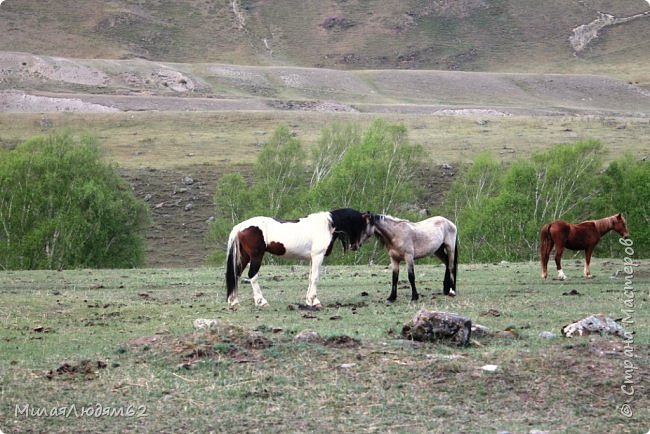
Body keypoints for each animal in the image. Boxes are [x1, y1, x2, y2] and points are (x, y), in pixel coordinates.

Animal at [225, 208, 372, 306]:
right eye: (360, 224)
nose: (356, 246)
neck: (326, 225)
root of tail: (240, 226)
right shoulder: (318, 256)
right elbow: (315, 278)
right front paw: (314, 301)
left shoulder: (312, 259)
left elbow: (310, 278)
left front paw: (309, 300)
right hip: (256, 256)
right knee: (252, 275)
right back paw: (261, 301)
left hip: (245, 256)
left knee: (236, 274)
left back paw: (234, 300)